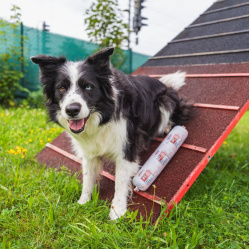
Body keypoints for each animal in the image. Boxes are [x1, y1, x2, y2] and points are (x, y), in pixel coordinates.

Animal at [31, 46, 196, 220]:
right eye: (61, 88)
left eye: (88, 87)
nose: (72, 110)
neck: (102, 117)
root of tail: (163, 84)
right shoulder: (89, 153)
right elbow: (87, 177)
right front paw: (82, 203)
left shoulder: (126, 148)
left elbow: (120, 182)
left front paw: (117, 211)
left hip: (165, 101)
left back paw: (168, 127)